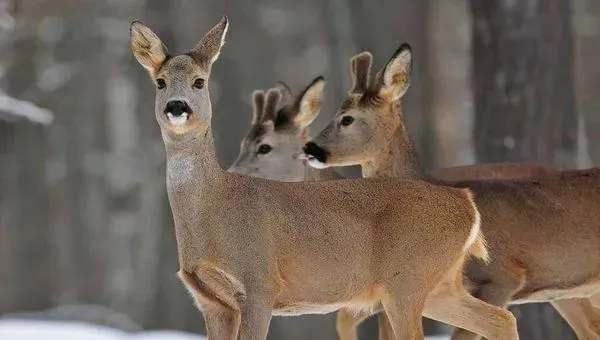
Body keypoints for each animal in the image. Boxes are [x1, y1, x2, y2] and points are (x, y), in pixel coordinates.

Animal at [131, 17, 520, 340]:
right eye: (160, 82)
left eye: (199, 82)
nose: (177, 106)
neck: (214, 209)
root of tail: (466, 203)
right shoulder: (211, 302)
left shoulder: (259, 282)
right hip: (440, 284)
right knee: (501, 319)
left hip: (408, 279)